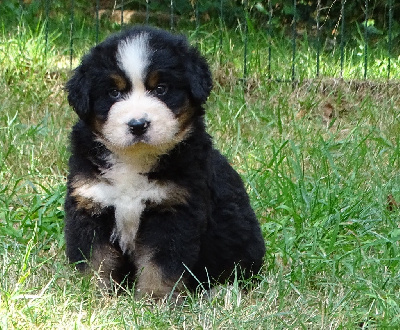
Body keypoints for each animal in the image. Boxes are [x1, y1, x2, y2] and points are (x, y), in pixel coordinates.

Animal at [65, 25, 266, 300]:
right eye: (114, 92)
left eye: (161, 89)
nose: (138, 124)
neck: (134, 160)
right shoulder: (91, 203)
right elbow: (95, 260)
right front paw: (91, 295)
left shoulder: (173, 209)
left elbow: (160, 265)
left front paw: (155, 299)